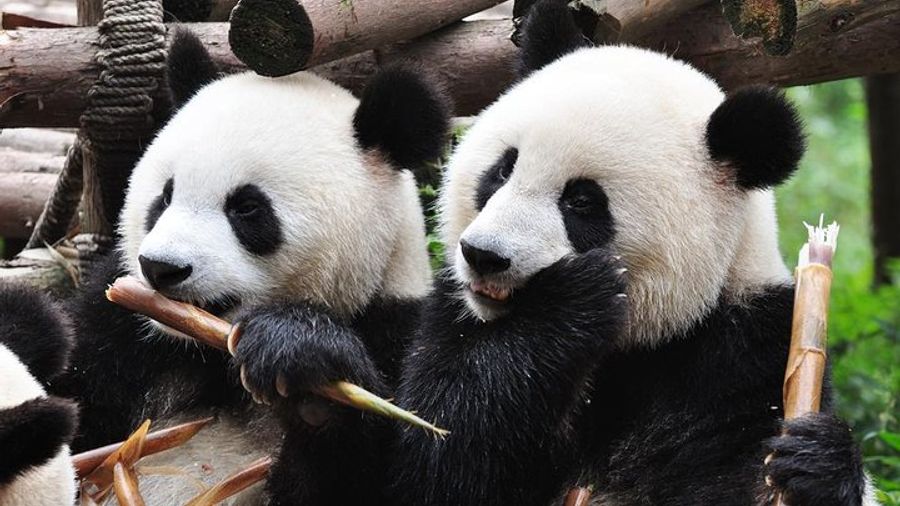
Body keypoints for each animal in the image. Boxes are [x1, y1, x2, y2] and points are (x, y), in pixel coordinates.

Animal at [44, 28, 449, 503]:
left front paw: (303, 364)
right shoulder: (120, 327)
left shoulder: (400, 332)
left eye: (247, 208)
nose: (161, 268)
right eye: (164, 196)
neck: (207, 352)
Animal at [388, 1, 876, 505]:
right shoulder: (452, 320)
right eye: (503, 170)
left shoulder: (747, 353)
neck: (639, 345)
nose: (485, 256)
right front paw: (570, 302)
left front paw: (817, 461)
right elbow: (440, 452)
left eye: (582, 201)